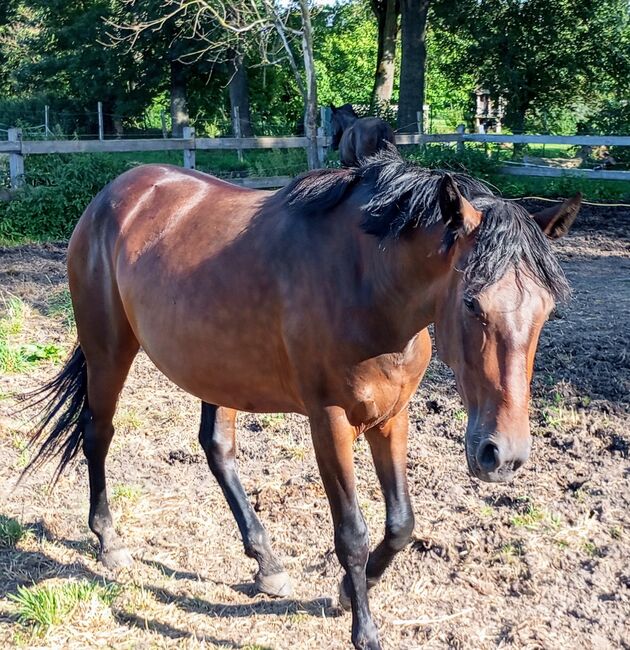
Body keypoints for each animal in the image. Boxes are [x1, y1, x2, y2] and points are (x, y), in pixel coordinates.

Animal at [23, 147, 584, 648]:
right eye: (471, 302)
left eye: (547, 309)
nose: (502, 455)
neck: (365, 285)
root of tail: (114, 193)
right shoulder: (329, 421)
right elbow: (352, 533)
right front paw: (364, 631)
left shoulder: (391, 416)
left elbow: (401, 524)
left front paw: (345, 594)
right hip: (108, 349)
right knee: (98, 434)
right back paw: (109, 541)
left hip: (217, 369)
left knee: (216, 449)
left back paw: (266, 563)